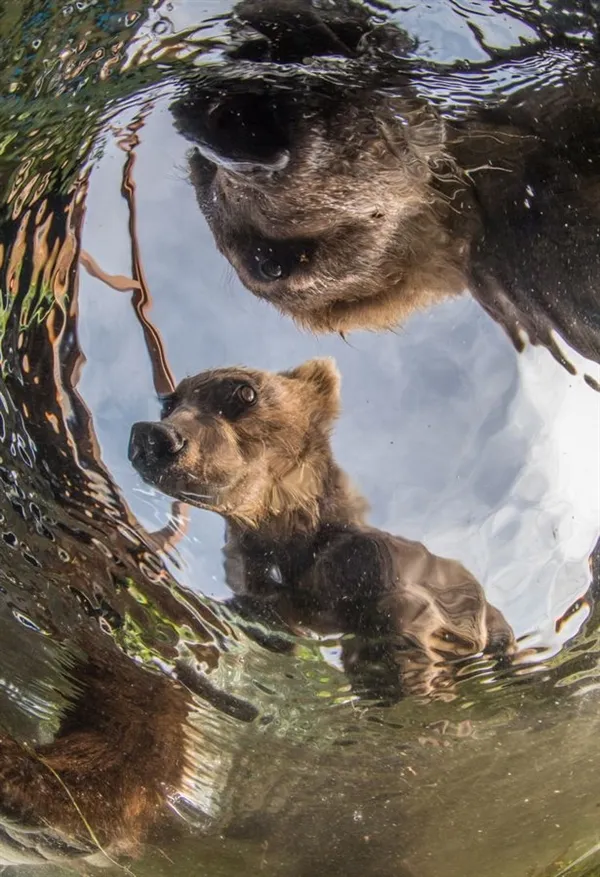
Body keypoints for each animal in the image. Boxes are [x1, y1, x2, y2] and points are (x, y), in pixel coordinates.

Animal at [129, 356, 512, 700]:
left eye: (244, 392)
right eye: (169, 403)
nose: (153, 436)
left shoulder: (373, 566)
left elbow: (400, 609)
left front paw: (395, 675)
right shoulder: (261, 579)